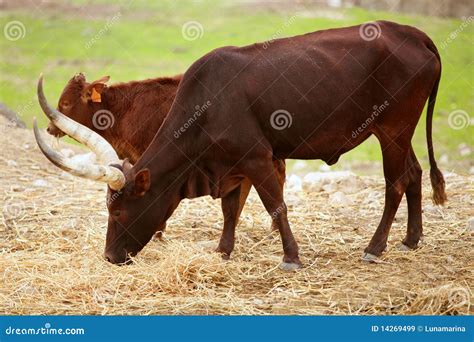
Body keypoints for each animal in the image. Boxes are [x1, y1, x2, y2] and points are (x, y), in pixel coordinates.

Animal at [35, 20, 446, 270]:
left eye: (118, 212)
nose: (109, 257)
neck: (205, 103)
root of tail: (413, 33)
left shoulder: (258, 159)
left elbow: (276, 206)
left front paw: (291, 257)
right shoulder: (230, 167)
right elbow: (230, 210)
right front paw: (223, 250)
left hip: (392, 130)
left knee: (395, 182)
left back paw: (375, 248)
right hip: (396, 132)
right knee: (414, 174)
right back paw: (411, 239)